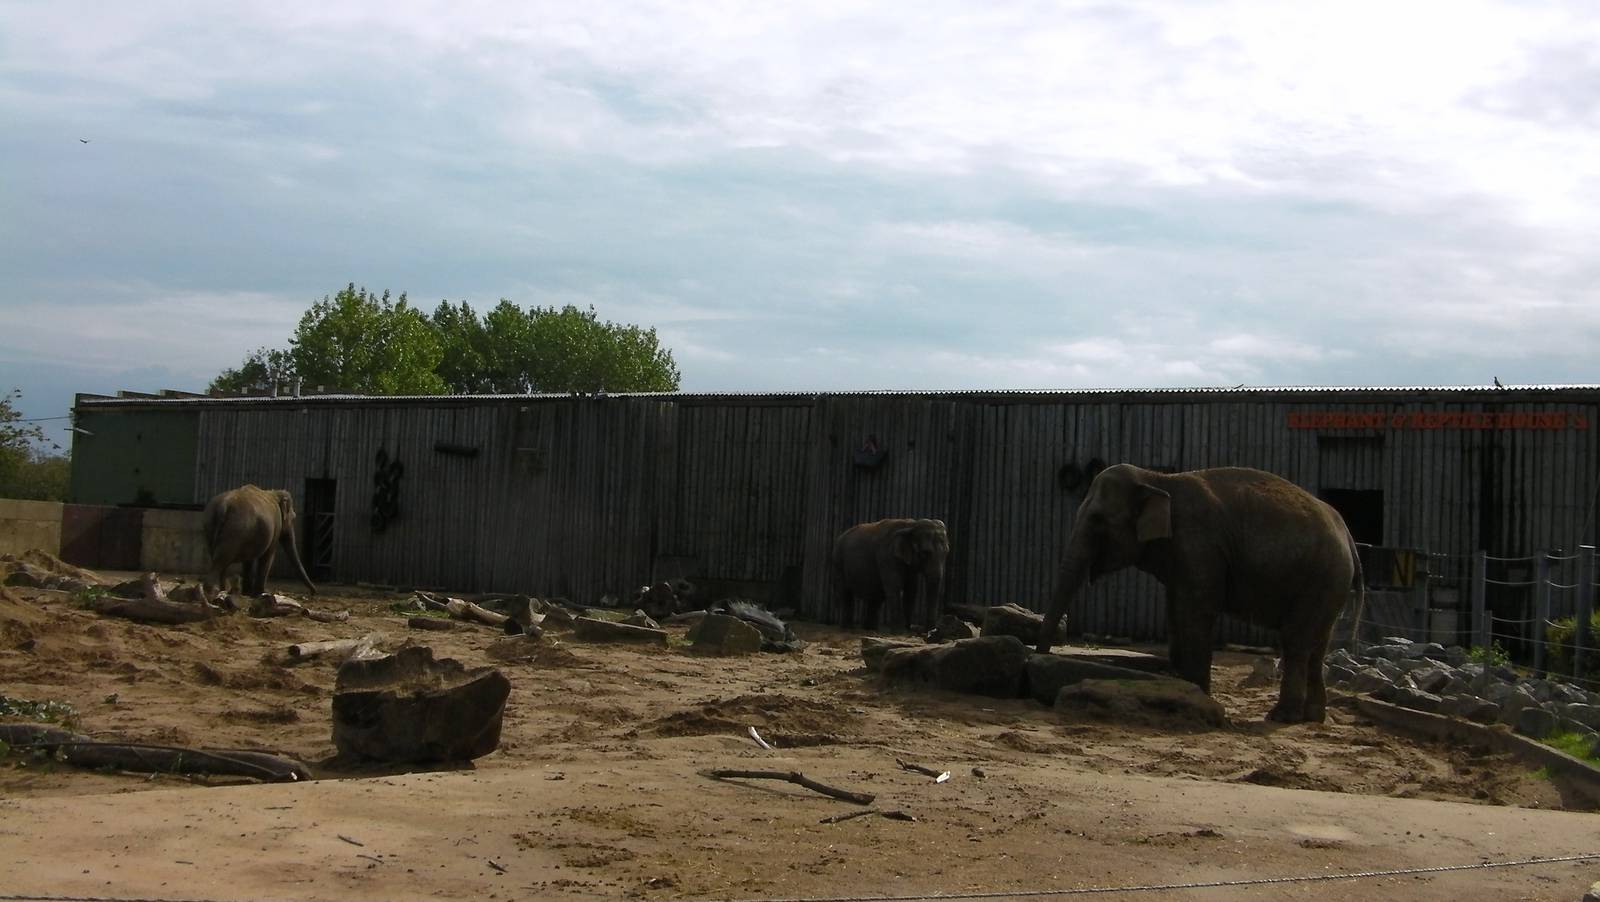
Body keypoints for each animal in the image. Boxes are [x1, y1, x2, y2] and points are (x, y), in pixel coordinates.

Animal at [201, 484, 317, 613]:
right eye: (293, 517)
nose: (313, 593)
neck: (274, 493)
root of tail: (223, 506)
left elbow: (249, 561)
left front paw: (247, 593)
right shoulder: (275, 526)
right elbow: (268, 555)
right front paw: (261, 593)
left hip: (213, 527)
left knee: (219, 560)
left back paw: (223, 592)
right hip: (235, 530)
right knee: (221, 560)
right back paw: (211, 595)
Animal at [1037, 464, 1363, 723]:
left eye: (1098, 520)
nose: (1039, 658)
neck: (1157, 479)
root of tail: (1348, 534)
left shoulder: (1199, 546)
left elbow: (1195, 612)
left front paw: (1197, 696)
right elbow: (1174, 612)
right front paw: (1180, 686)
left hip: (1320, 579)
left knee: (1295, 641)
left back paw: (1282, 717)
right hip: (1329, 585)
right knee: (1317, 645)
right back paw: (1313, 717)